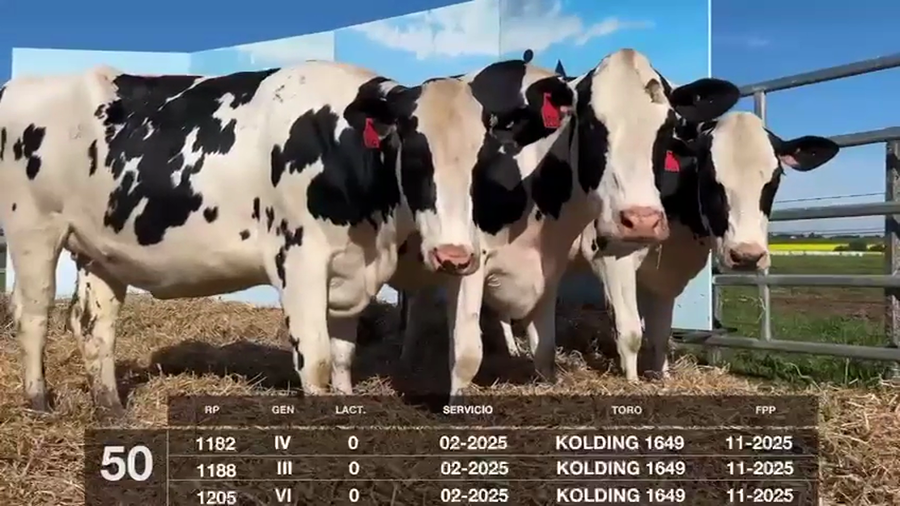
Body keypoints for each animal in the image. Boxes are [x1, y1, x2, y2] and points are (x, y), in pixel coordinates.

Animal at [0, 61, 567, 416]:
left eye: (483, 157)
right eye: (414, 153)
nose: (453, 255)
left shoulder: (355, 266)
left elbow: (347, 355)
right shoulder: (299, 258)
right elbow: (314, 358)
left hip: (100, 251)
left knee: (95, 327)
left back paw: (112, 408)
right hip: (33, 230)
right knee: (33, 314)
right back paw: (39, 401)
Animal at [393, 48, 741, 397]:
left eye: (667, 127)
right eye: (591, 124)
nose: (641, 221)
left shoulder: (550, 263)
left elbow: (546, 349)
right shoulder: (467, 259)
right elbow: (465, 354)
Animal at [497, 111, 841, 381]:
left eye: (774, 178)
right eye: (710, 177)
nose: (747, 255)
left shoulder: (665, 276)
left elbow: (661, 334)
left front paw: (661, 377)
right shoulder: (610, 256)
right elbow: (630, 332)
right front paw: (633, 382)